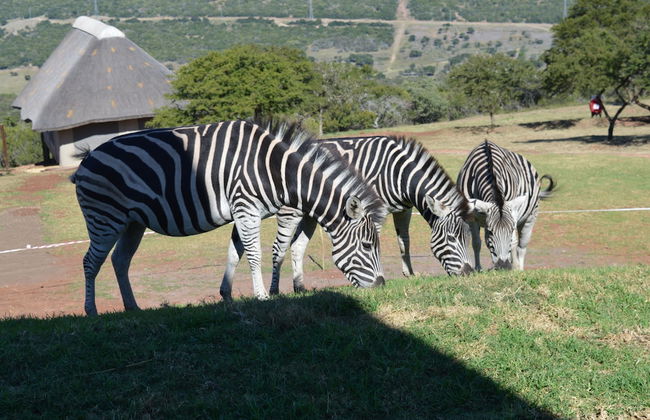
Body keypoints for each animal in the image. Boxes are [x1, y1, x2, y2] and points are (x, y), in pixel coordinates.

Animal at [70, 120, 387, 315]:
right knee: (90, 262)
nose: (382, 286)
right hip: (105, 217)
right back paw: (91, 311)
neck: (274, 170)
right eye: (368, 246)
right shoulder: (246, 208)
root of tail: (87, 159)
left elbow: (235, 253)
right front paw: (263, 296)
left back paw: (132, 307)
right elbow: (255, 254)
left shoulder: (241, 212)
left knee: (120, 260)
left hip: (133, 221)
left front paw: (227, 294)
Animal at [221, 135, 474, 295]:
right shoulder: (375, 209)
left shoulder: (404, 209)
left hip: (309, 214)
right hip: (290, 212)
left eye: (467, 238)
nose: (468, 273)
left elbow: (404, 242)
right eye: (452, 238)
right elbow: (373, 242)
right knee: (279, 247)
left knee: (296, 247)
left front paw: (410, 275)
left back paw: (298, 287)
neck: (399, 172)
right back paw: (274, 291)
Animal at [457, 140, 554, 271]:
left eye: (510, 230)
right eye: (490, 232)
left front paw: (514, 267)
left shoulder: (513, 213)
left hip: (530, 217)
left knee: (521, 246)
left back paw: (519, 268)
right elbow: (476, 243)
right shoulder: (472, 218)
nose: (503, 266)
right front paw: (478, 268)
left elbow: (513, 242)